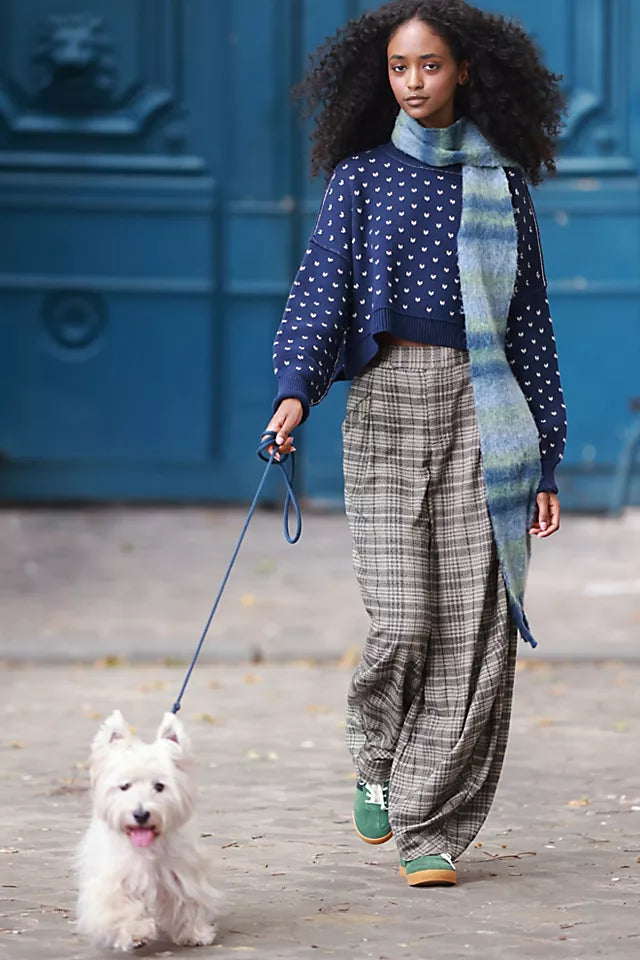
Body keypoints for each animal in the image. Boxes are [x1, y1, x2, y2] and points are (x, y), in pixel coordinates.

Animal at [76, 708, 218, 948]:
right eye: (124, 786)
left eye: (159, 786)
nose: (141, 814)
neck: (147, 848)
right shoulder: (114, 880)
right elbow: (120, 906)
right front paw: (136, 932)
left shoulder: (181, 873)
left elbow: (188, 900)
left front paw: (194, 933)